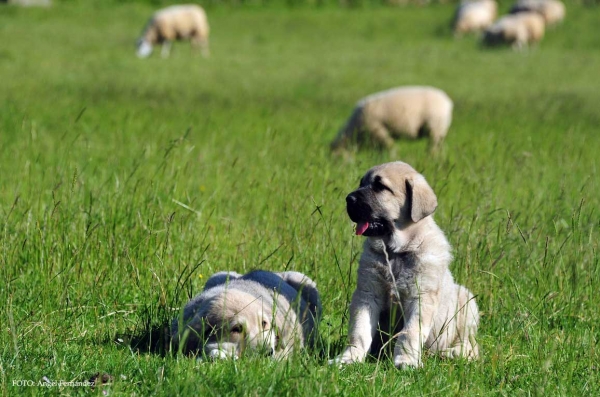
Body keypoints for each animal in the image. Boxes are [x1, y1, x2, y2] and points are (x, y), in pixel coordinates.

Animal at [332, 161, 478, 368]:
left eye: (380, 187)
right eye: (361, 183)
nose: (348, 199)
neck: (396, 251)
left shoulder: (421, 298)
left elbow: (410, 333)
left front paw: (406, 361)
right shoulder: (367, 294)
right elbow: (359, 330)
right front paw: (349, 358)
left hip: (467, 303)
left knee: (471, 347)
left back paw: (451, 353)